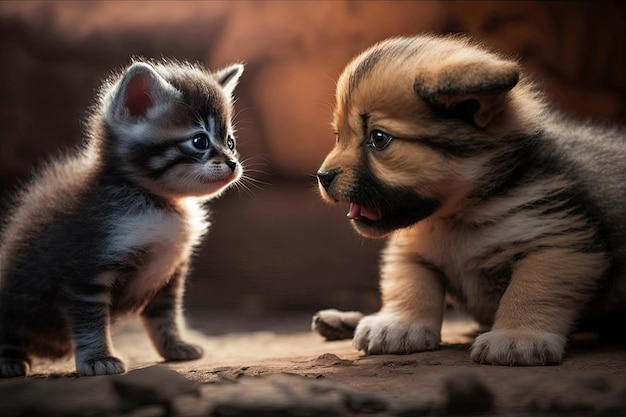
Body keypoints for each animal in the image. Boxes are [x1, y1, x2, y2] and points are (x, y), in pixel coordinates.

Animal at [0, 57, 243, 376]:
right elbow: (90, 323)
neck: (158, 203)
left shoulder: (169, 276)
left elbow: (164, 316)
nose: (232, 163)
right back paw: (9, 360)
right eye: (200, 141)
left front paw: (174, 346)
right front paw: (98, 359)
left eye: (230, 142)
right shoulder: (86, 269)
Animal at [314, 34, 620, 364]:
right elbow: (409, 283)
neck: (459, 217)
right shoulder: (411, 250)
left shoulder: (559, 243)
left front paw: (517, 336)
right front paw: (399, 323)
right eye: (338, 136)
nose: (322, 176)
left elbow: (531, 290)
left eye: (379, 139)